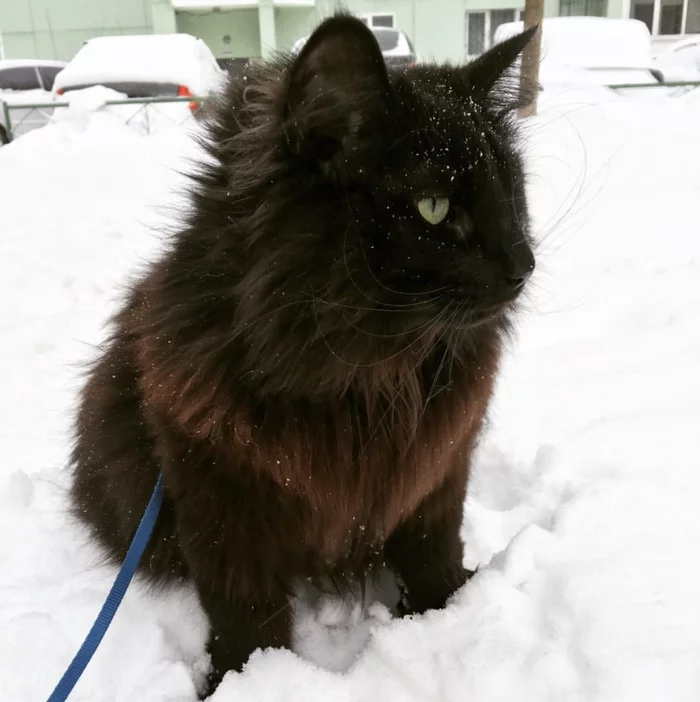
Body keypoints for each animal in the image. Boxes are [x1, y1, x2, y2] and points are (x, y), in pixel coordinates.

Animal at [71, 15, 536, 700]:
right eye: (434, 208)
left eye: (512, 192)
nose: (523, 264)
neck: (368, 380)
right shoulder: (220, 498)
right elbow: (246, 617)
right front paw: (242, 679)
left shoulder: (437, 476)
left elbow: (434, 557)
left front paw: (451, 612)